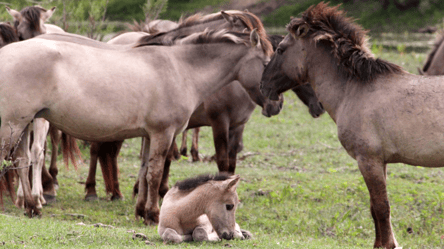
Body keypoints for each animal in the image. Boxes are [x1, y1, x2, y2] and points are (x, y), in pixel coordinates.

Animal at [0, 27, 274, 224]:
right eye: (266, 63)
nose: (275, 104)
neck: (181, 69)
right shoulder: (164, 134)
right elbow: (155, 174)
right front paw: (153, 214)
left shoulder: (150, 135)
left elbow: (143, 171)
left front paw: (141, 210)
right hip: (13, 126)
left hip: (24, 125)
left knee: (22, 162)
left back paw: (32, 207)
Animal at [260, 2, 444, 249]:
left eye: (280, 49)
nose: (263, 85)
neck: (355, 90)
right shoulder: (379, 162)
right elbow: (374, 208)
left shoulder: (368, 160)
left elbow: (381, 207)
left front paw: (388, 244)